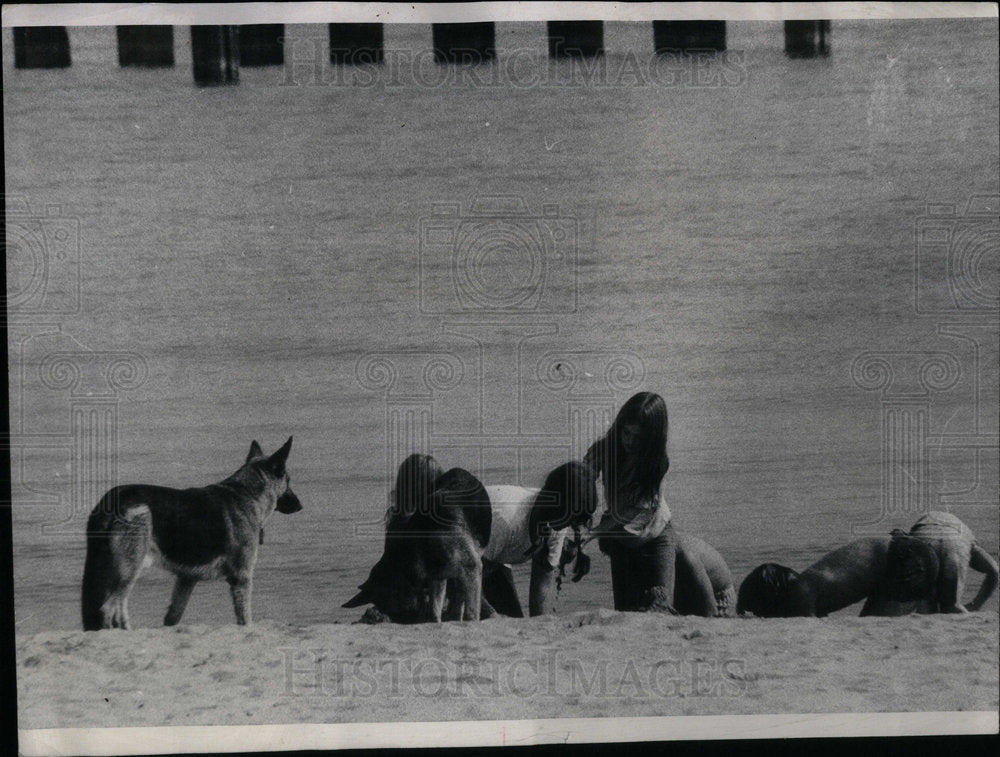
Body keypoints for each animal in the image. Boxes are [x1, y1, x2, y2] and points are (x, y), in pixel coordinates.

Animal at [81, 434, 300, 628]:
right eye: (288, 481)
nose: (300, 506)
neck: (246, 492)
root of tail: (110, 501)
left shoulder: (186, 579)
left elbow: (172, 617)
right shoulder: (242, 578)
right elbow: (245, 620)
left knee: (119, 611)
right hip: (128, 570)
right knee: (108, 609)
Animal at [344, 464, 492, 624]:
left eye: (388, 605)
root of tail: (458, 471)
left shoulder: (470, 568)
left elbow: (470, 610)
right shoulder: (438, 577)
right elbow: (435, 609)